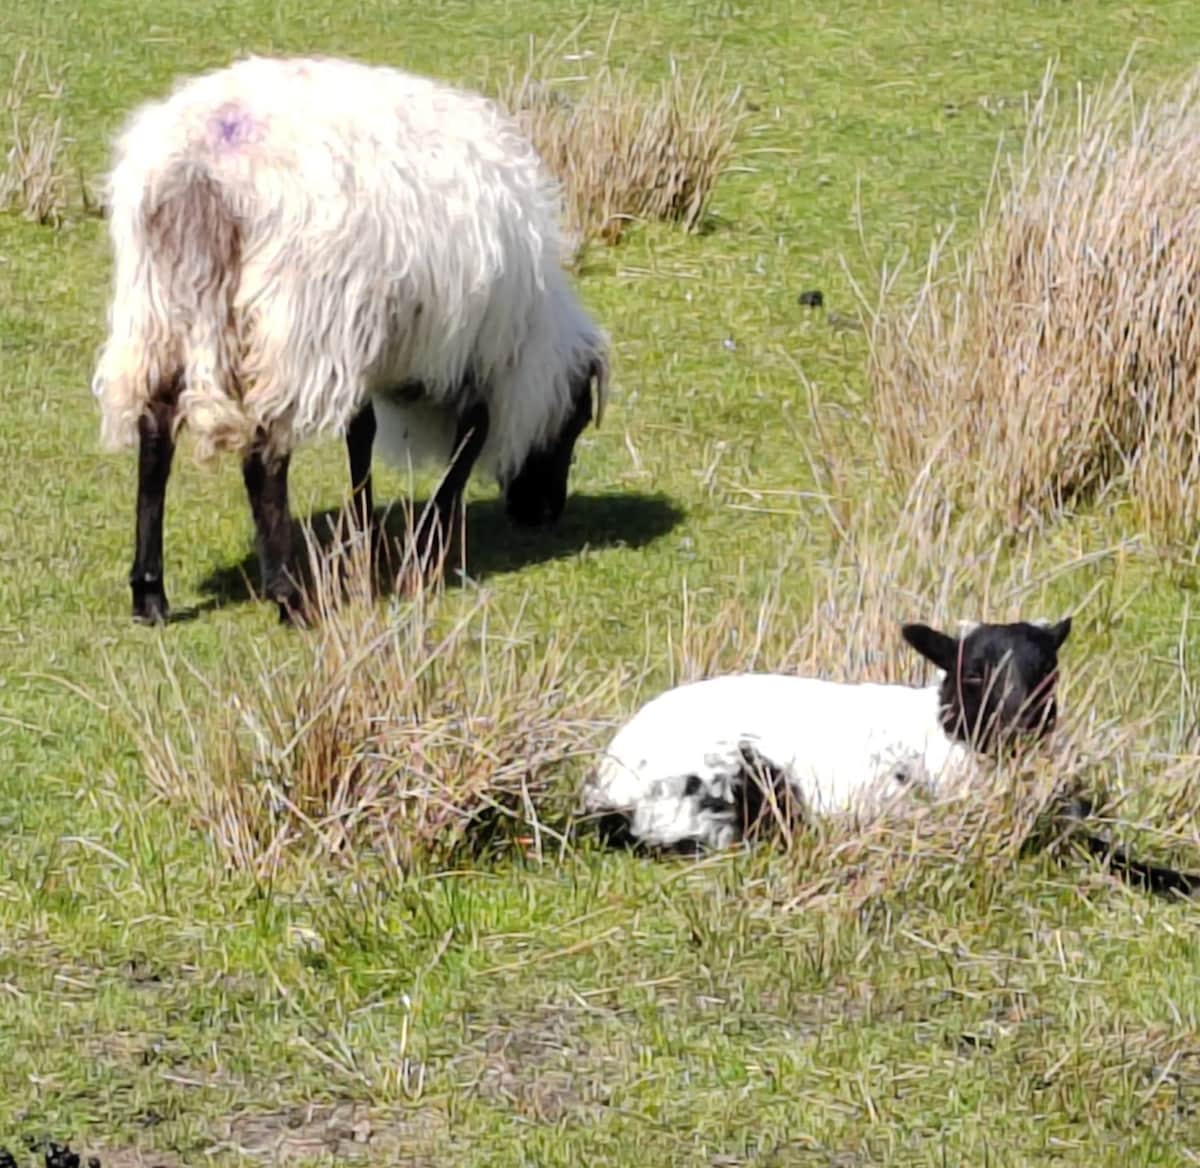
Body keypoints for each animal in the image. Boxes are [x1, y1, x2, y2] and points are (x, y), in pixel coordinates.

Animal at [91, 53, 609, 624]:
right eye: (576, 421)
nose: (545, 513)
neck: (531, 330)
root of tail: (202, 166)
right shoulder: (470, 350)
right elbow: (472, 434)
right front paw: (430, 532)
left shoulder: (368, 343)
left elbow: (360, 433)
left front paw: (364, 530)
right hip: (293, 325)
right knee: (263, 458)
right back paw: (288, 595)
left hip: (156, 309)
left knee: (155, 437)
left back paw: (149, 592)